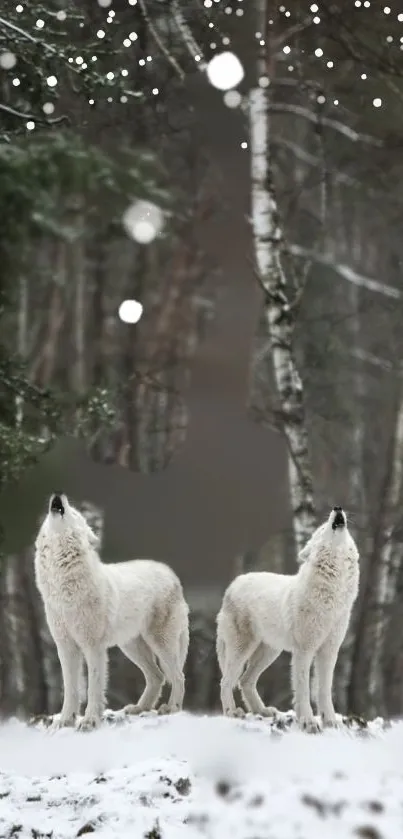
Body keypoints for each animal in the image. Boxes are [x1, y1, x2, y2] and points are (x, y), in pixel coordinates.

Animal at [34, 492, 189, 728]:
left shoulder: (93, 647)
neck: (63, 588)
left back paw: (172, 708)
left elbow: (93, 687)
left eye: (75, 513)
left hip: (160, 643)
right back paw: (139, 708)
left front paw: (90, 720)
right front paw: (65, 720)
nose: (58, 495)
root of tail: (172, 575)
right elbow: (70, 689)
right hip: (131, 647)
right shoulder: (66, 647)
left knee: (178, 676)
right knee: (157, 676)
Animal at [218, 508, 360, 732]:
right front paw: (309, 722)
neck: (333, 596)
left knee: (245, 681)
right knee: (226, 681)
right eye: (322, 529)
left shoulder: (329, 651)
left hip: (270, 652)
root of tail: (233, 585)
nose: (337, 508)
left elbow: (324, 689)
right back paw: (232, 712)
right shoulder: (304, 650)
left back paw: (263, 711)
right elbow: (303, 689)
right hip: (242, 650)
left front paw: (330, 721)